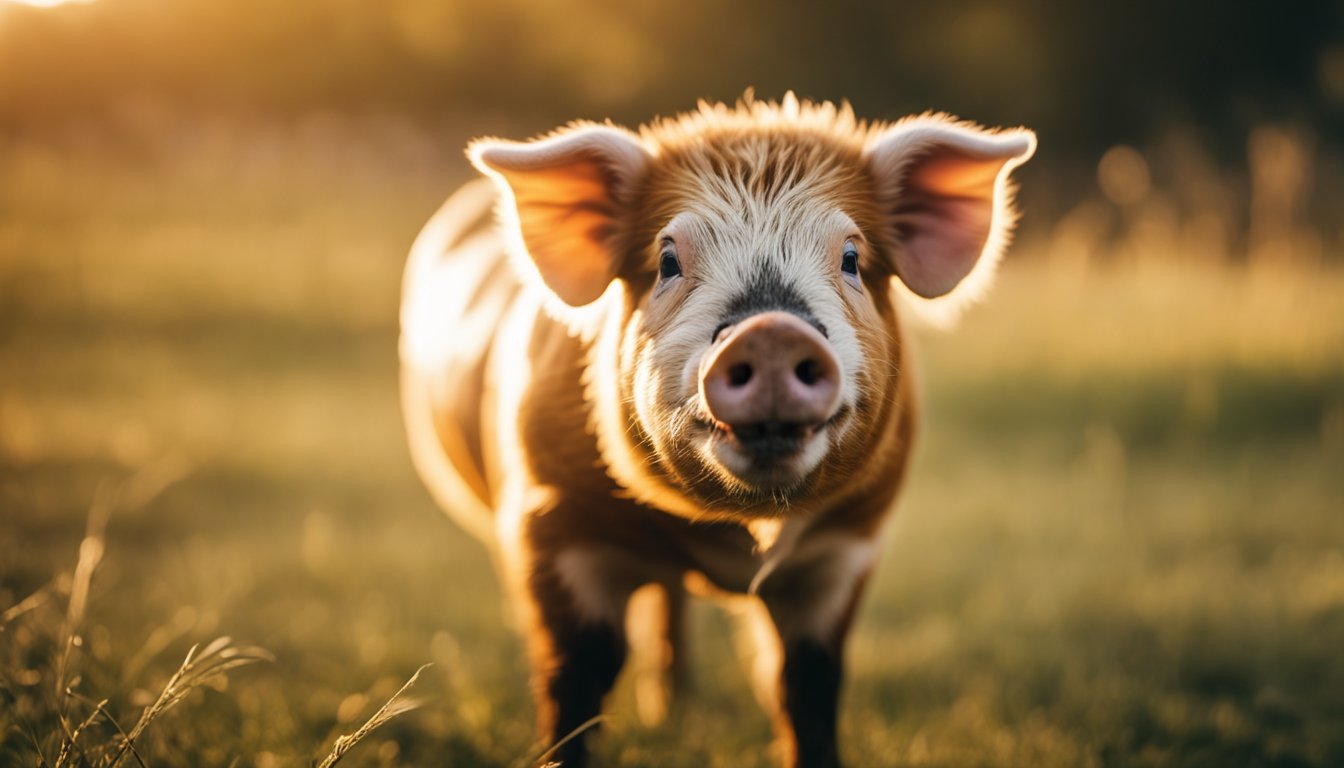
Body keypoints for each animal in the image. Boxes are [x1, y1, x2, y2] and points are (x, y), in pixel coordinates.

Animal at [392, 93, 1032, 763]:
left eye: (852, 258)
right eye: (668, 259)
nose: (771, 330)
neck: (734, 536)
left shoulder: (848, 548)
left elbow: (806, 682)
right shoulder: (550, 523)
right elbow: (578, 676)